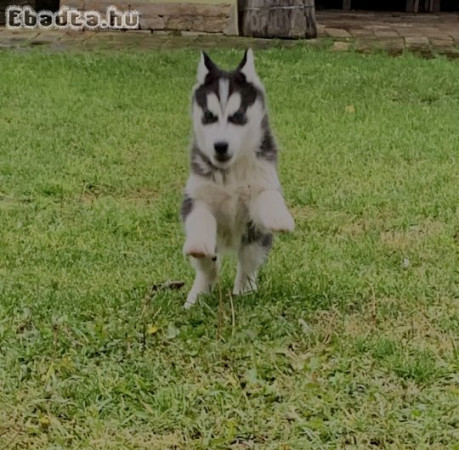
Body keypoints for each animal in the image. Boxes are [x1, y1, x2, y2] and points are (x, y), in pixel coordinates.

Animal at [181, 50, 294, 310]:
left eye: (238, 116)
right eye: (209, 116)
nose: (220, 146)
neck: (230, 173)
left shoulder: (261, 185)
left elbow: (268, 196)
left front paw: (280, 217)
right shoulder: (196, 196)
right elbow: (199, 219)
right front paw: (197, 242)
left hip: (254, 241)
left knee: (247, 265)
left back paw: (244, 291)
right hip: (213, 250)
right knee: (208, 269)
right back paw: (197, 296)